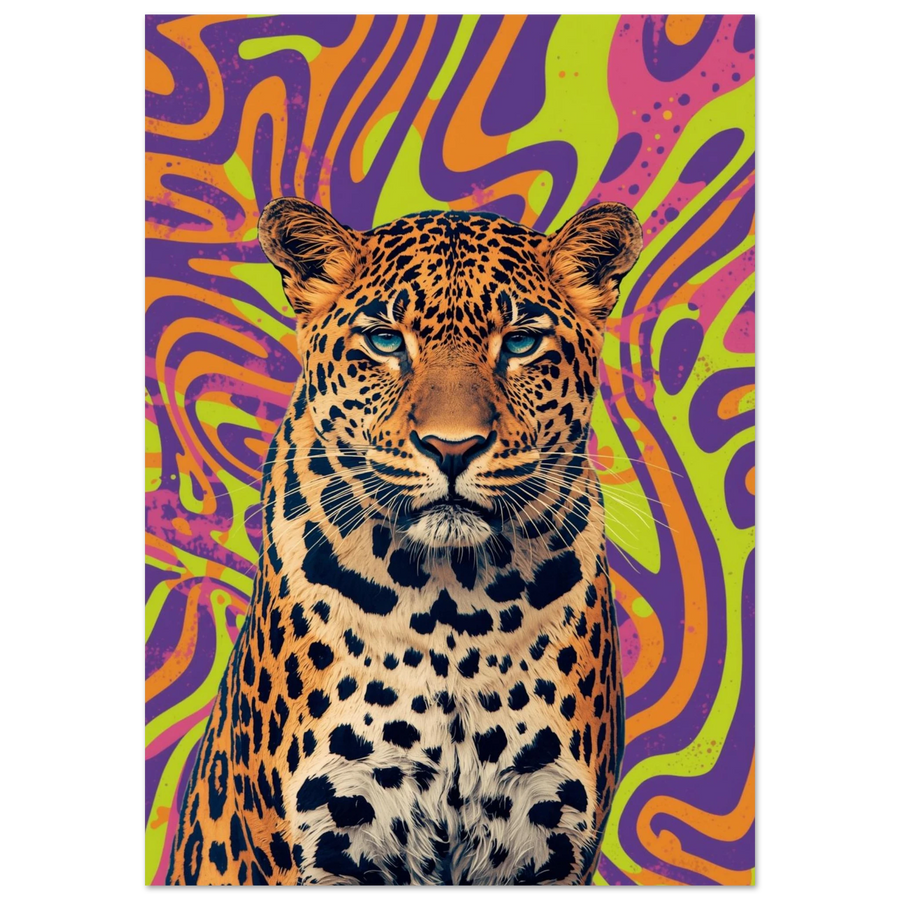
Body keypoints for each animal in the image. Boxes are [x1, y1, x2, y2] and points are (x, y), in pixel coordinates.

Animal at [165, 196, 642, 886]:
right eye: (386, 341)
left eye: (521, 342)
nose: (452, 447)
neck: (456, 606)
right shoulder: (336, 833)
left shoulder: (546, 842)